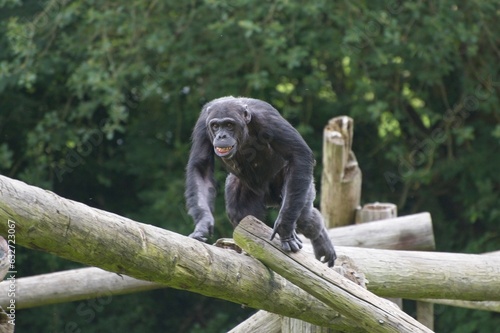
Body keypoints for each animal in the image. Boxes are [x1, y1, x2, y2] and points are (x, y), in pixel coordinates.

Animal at [187, 95, 336, 264]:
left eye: (229, 125)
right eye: (215, 126)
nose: (221, 135)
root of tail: (271, 199)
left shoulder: (268, 118)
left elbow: (298, 154)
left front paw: (284, 228)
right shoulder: (202, 124)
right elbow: (201, 168)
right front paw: (203, 224)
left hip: (300, 185)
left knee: (305, 218)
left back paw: (323, 244)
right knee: (239, 213)